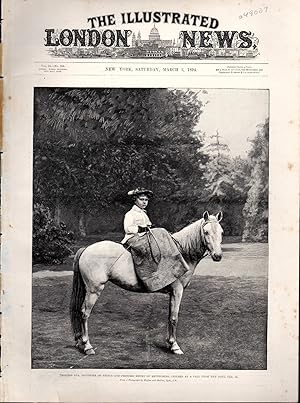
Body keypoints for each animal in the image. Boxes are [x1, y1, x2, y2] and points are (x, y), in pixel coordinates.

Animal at [70, 211, 223, 356]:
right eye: (206, 232)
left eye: (221, 232)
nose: (218, 256)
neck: (182, 252)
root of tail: (86, 249)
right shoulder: (177, 291)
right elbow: (174, 317)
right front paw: (175, 346)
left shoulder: (172, 293)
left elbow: (169, 316)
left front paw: (170, 343)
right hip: (93, 290)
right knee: (84, 313)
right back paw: (87, 346)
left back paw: (80, 342)